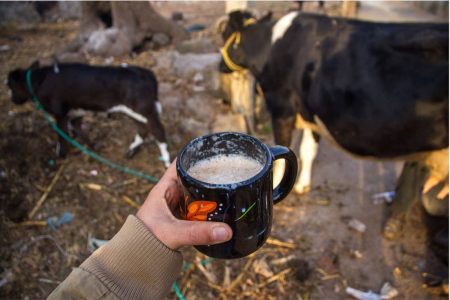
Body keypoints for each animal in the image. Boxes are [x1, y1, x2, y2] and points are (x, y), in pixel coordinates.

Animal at [7, 61, 171, 168]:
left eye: (10, 86)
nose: (13, 100)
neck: (39, 80)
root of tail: (146, 72)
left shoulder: (59, 111)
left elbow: (61, 134)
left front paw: (60, 155)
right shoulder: (76, 111)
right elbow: (77, 128)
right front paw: (92, 147)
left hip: (144, 109)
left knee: (158, 131)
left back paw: (166, 161)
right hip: (132, 111)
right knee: (143, 129)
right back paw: (130, 151)